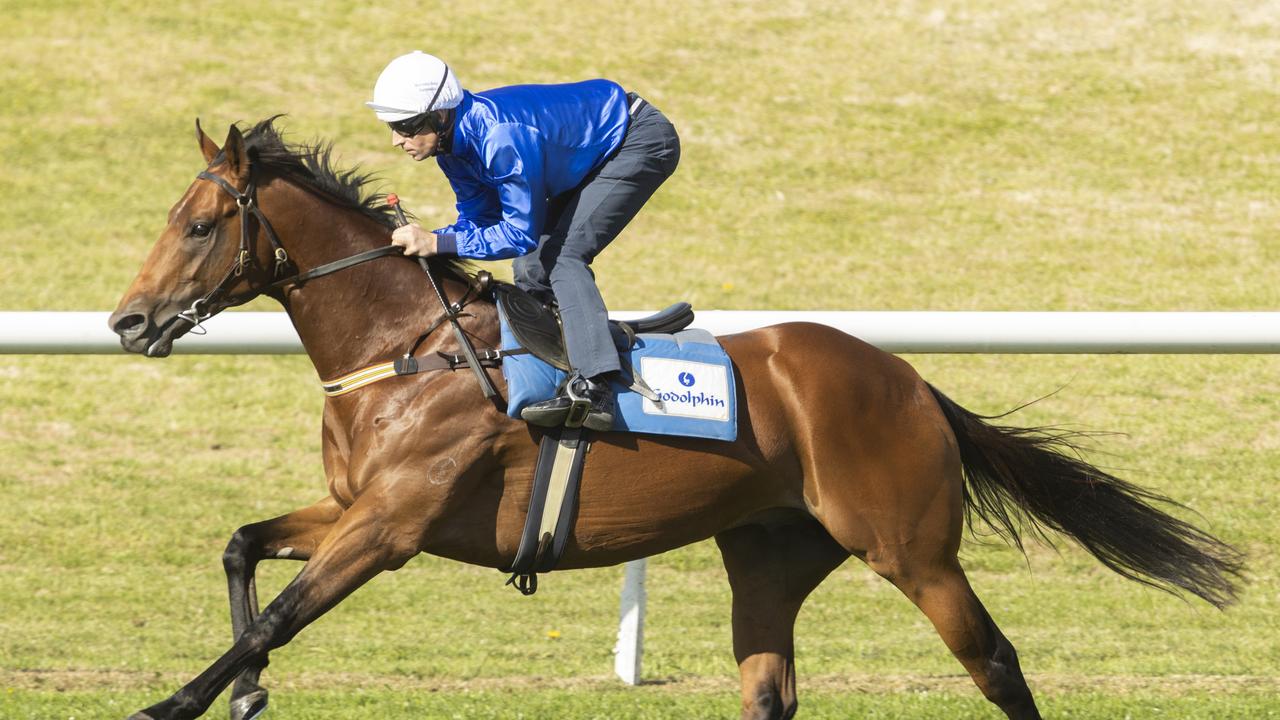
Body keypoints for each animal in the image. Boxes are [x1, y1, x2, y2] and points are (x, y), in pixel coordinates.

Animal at [104, 120, 1244, 712]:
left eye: (198, 226)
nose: (127, 321)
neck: (409, 349)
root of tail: (911, 383)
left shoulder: (392, 527)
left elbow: (285, 613)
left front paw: (180, 700)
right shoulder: (355, 508)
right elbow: (242, 544)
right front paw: (244, 691)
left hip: (913, 550)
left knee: (993, 662)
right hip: (771, 553)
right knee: (769, 687)